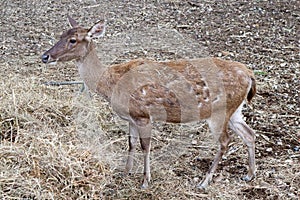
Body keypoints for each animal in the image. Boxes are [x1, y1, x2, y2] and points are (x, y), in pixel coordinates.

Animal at [41, 16, 256, 189]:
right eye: (60, 34)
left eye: (73, 40)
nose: (45, 56)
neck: (111, 84)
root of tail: (249, 74)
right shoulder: (130, 118)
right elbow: (131, 143)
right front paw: (125, 172)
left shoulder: (143, 115)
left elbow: (146, 146)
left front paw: (145, 181)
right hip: (235, 109)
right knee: (249, 133)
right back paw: (249, 174)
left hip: (220, 111)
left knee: (225, 141)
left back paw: (204, 182)